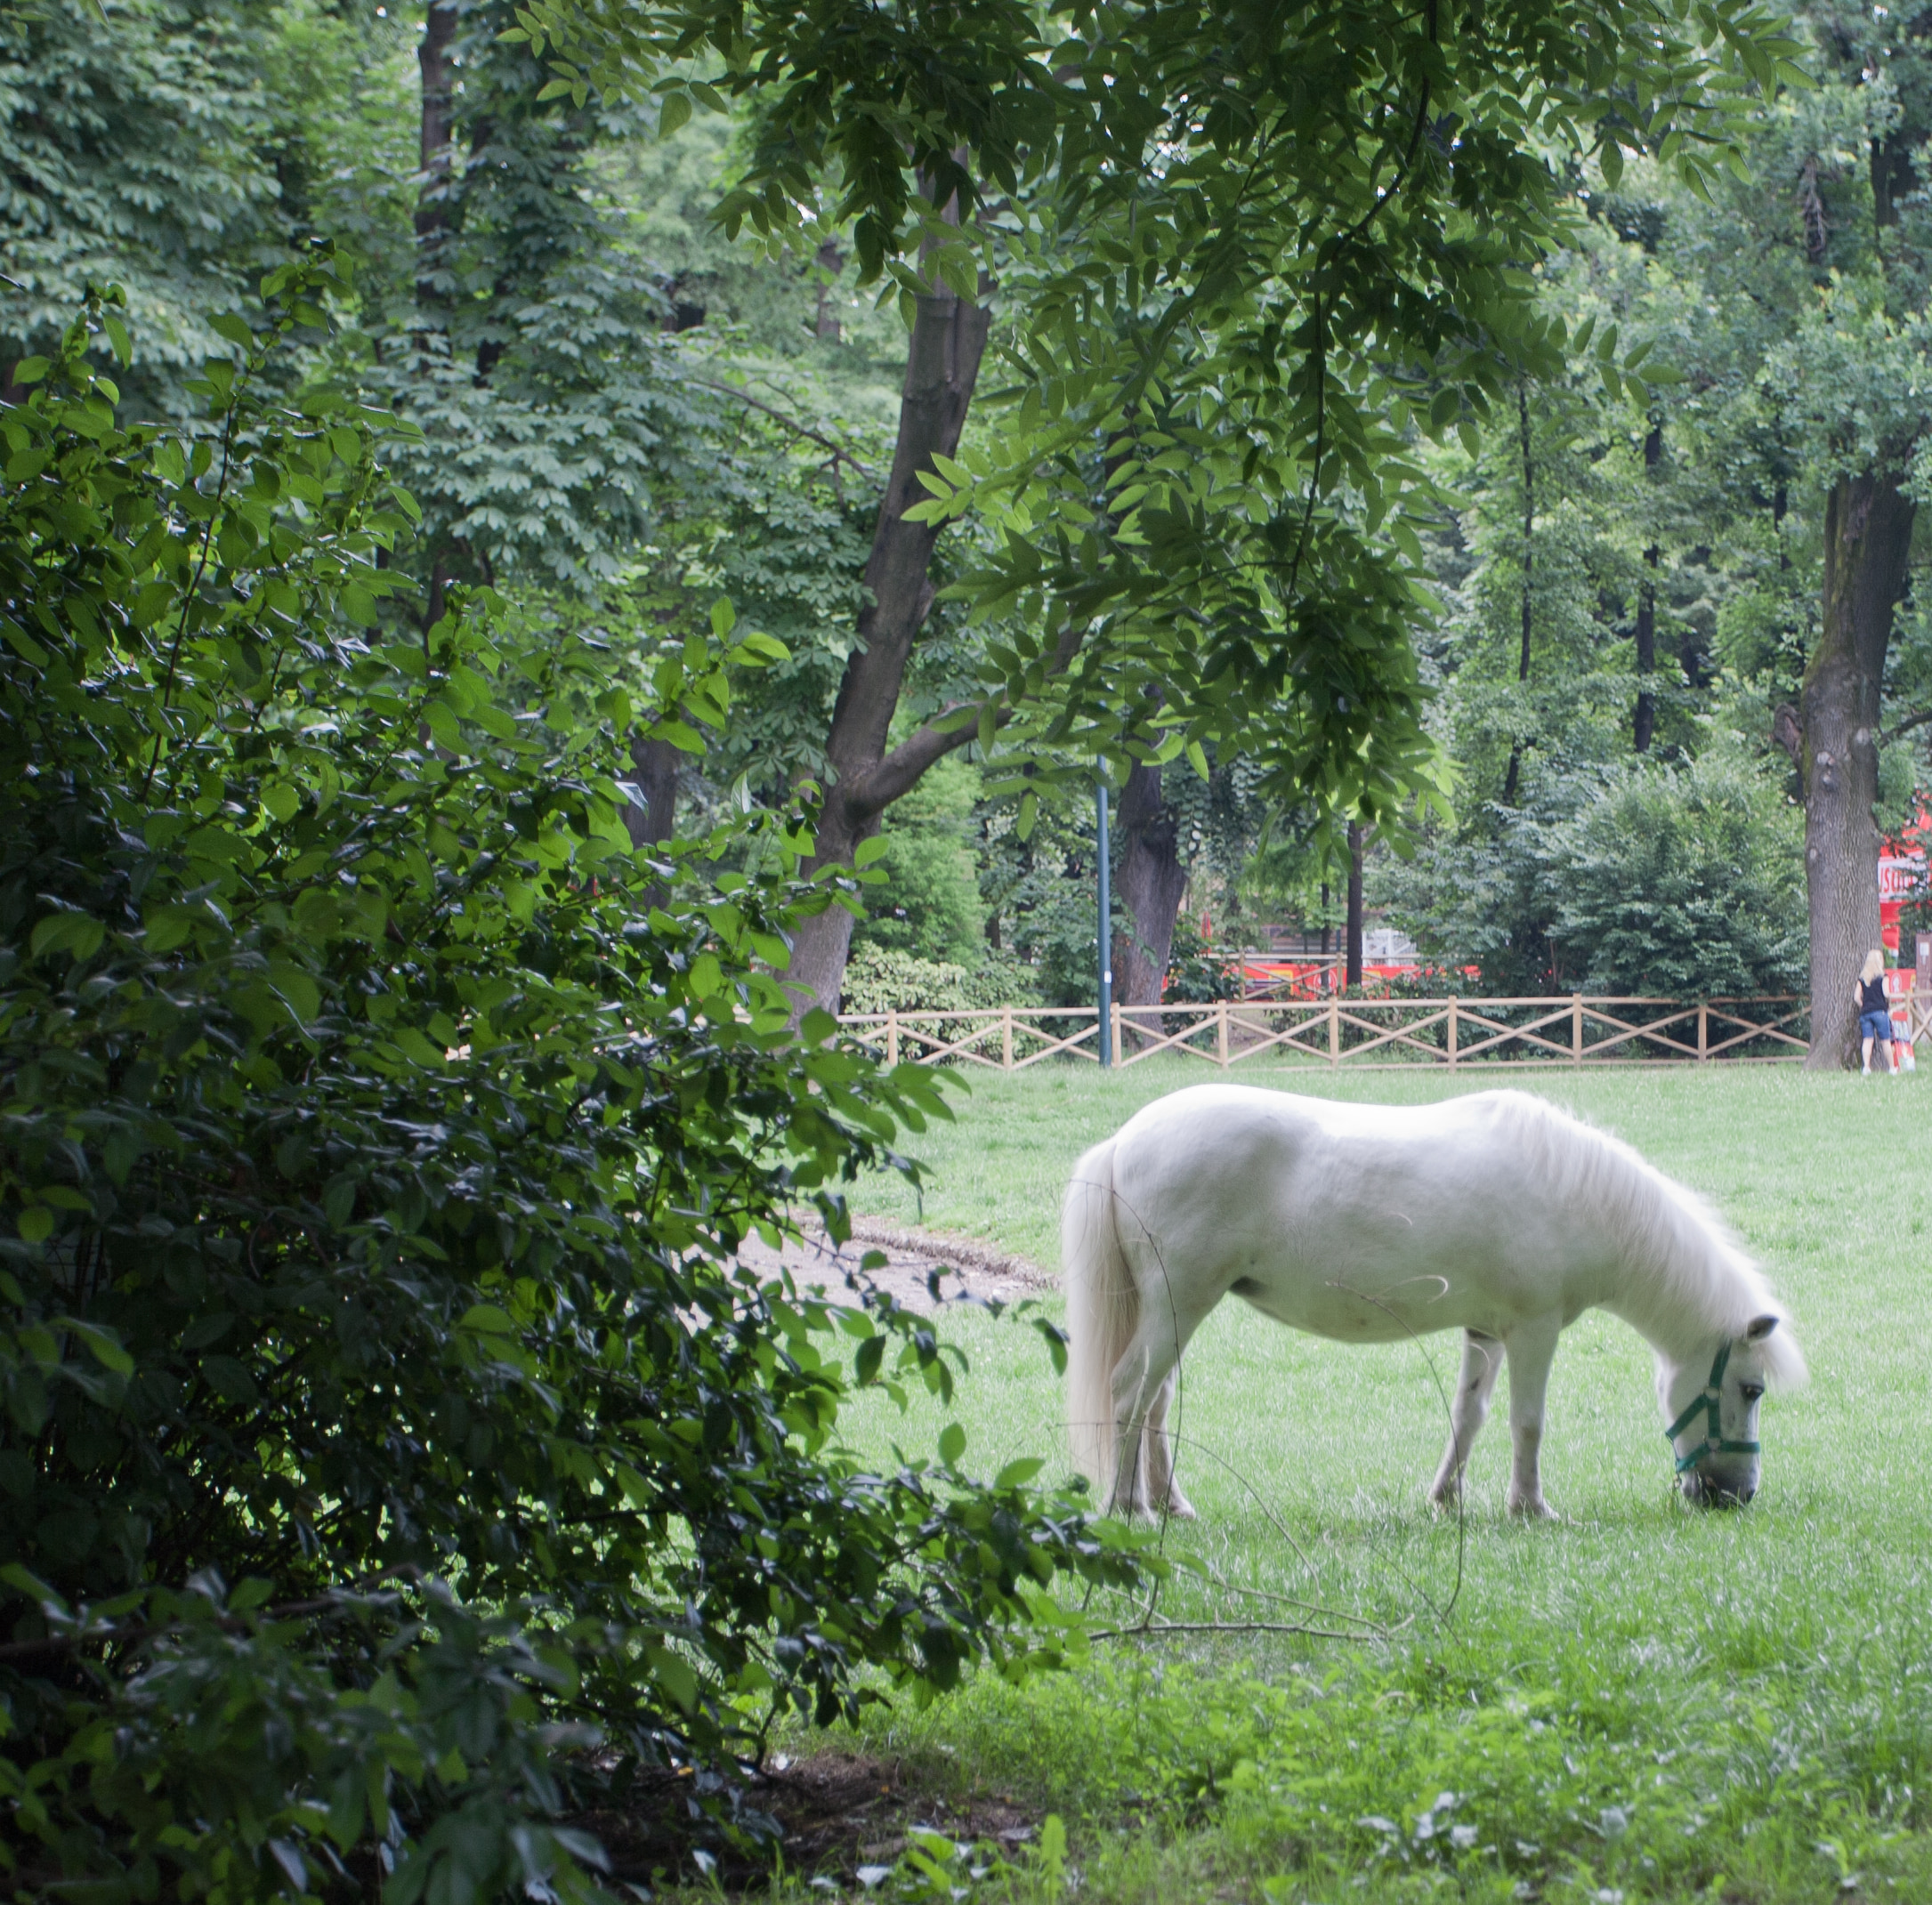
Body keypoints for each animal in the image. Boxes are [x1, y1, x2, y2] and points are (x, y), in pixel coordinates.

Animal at [1063, 1084, 1805, 1519]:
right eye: (1751, 1389)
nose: (1736, 1496)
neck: (1574, 1192)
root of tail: (1123, 1140)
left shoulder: (1487, 1330)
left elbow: (1469, 1416)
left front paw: (1446, 1498)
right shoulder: (1534, 1330)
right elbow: (1527, 1422)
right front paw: (1530, 1507)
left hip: (1177, 1311)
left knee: (1155, 1404)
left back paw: (1171, 1503)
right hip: (1180, 1305)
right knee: (1129, 1393)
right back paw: (1130, 1507)